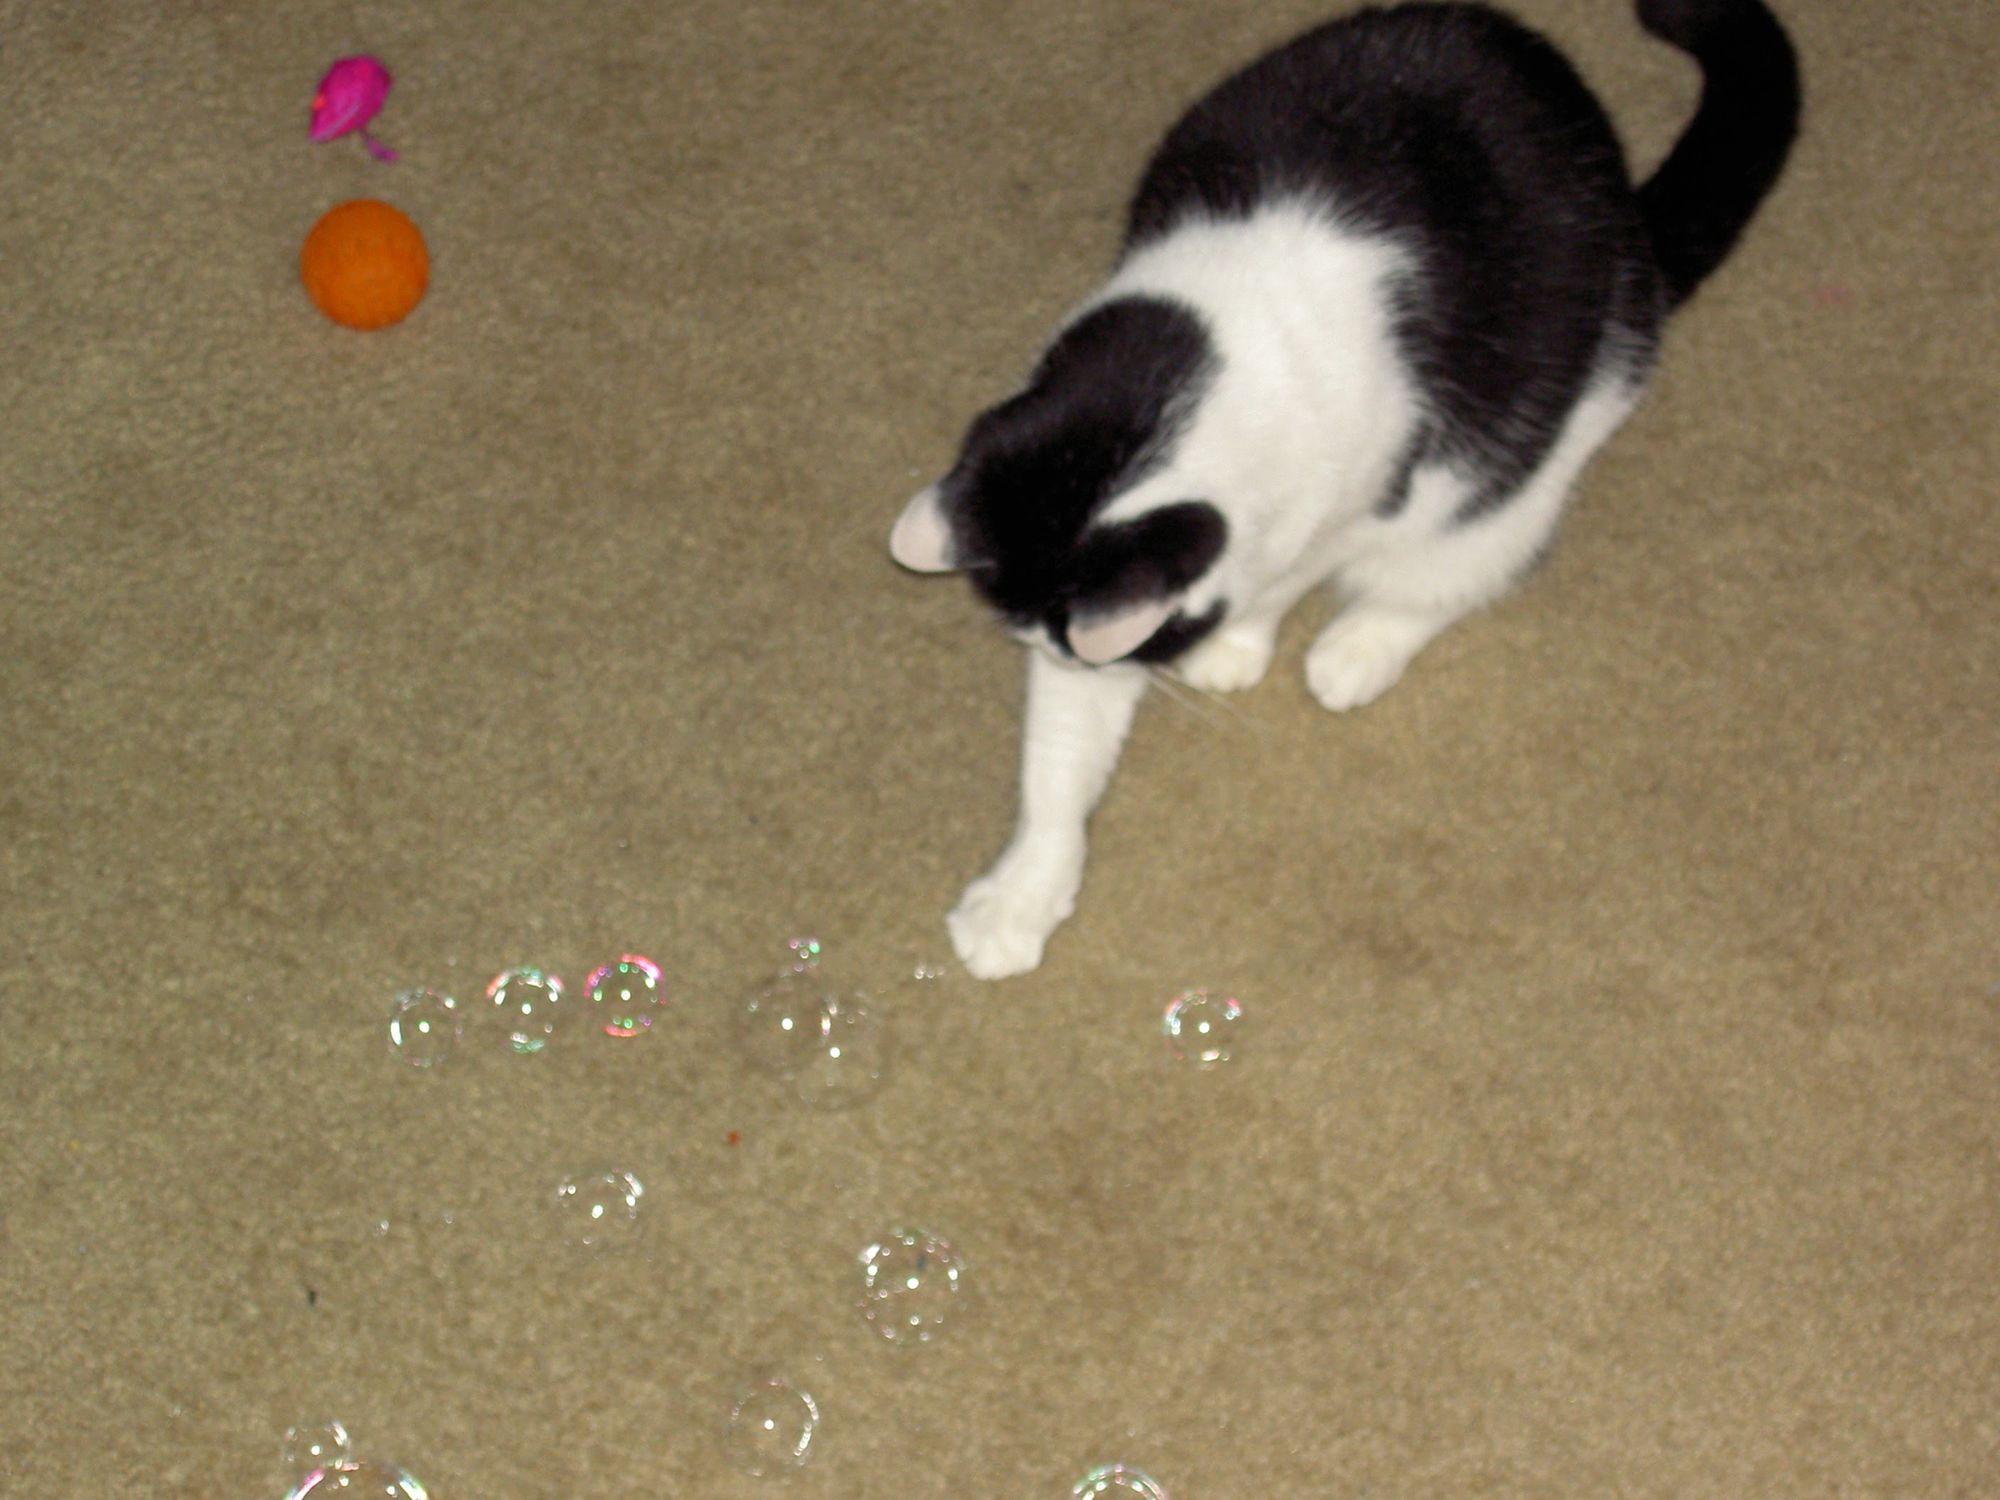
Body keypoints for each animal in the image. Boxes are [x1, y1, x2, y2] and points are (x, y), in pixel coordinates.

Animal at [892, 0, 1800, 980]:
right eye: (1029, 638)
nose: (1057, 654)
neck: (1189, 382)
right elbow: (1058, 757)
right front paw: (1024, 891)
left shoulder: (1346, 495)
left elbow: (1281, 581)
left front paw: (1235, 643)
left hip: (1550, 435)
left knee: (1462, 563)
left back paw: (1358, 647)